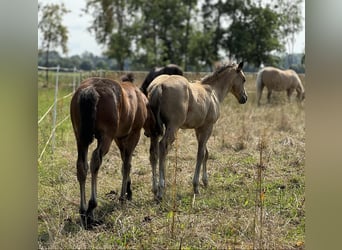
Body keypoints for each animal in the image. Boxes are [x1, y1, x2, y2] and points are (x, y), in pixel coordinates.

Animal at [70, 74, 155, 229]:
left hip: (80, 138)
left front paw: (128, 191)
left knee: (82, 166)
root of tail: (91, 90)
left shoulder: (119, 138)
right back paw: (91, 208)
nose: (156, 130)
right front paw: (123, 196)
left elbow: (125, 162)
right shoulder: (133, 135)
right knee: (95, 161)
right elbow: (127, 165)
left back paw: (83, 212)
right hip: (106, 137)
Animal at [146, 62, 247, 201]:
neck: (213, 91)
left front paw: (205, 181)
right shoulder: (208, 127)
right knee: (163, 147)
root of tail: (158, 86)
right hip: (173, 127)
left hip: (154, 131)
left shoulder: (198, 129)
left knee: (153, 153)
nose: (244, 98)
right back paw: (161, 189)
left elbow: (206, 153)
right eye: (243, 79)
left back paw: (155, 190)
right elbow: (201, 154)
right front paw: (196, 186)